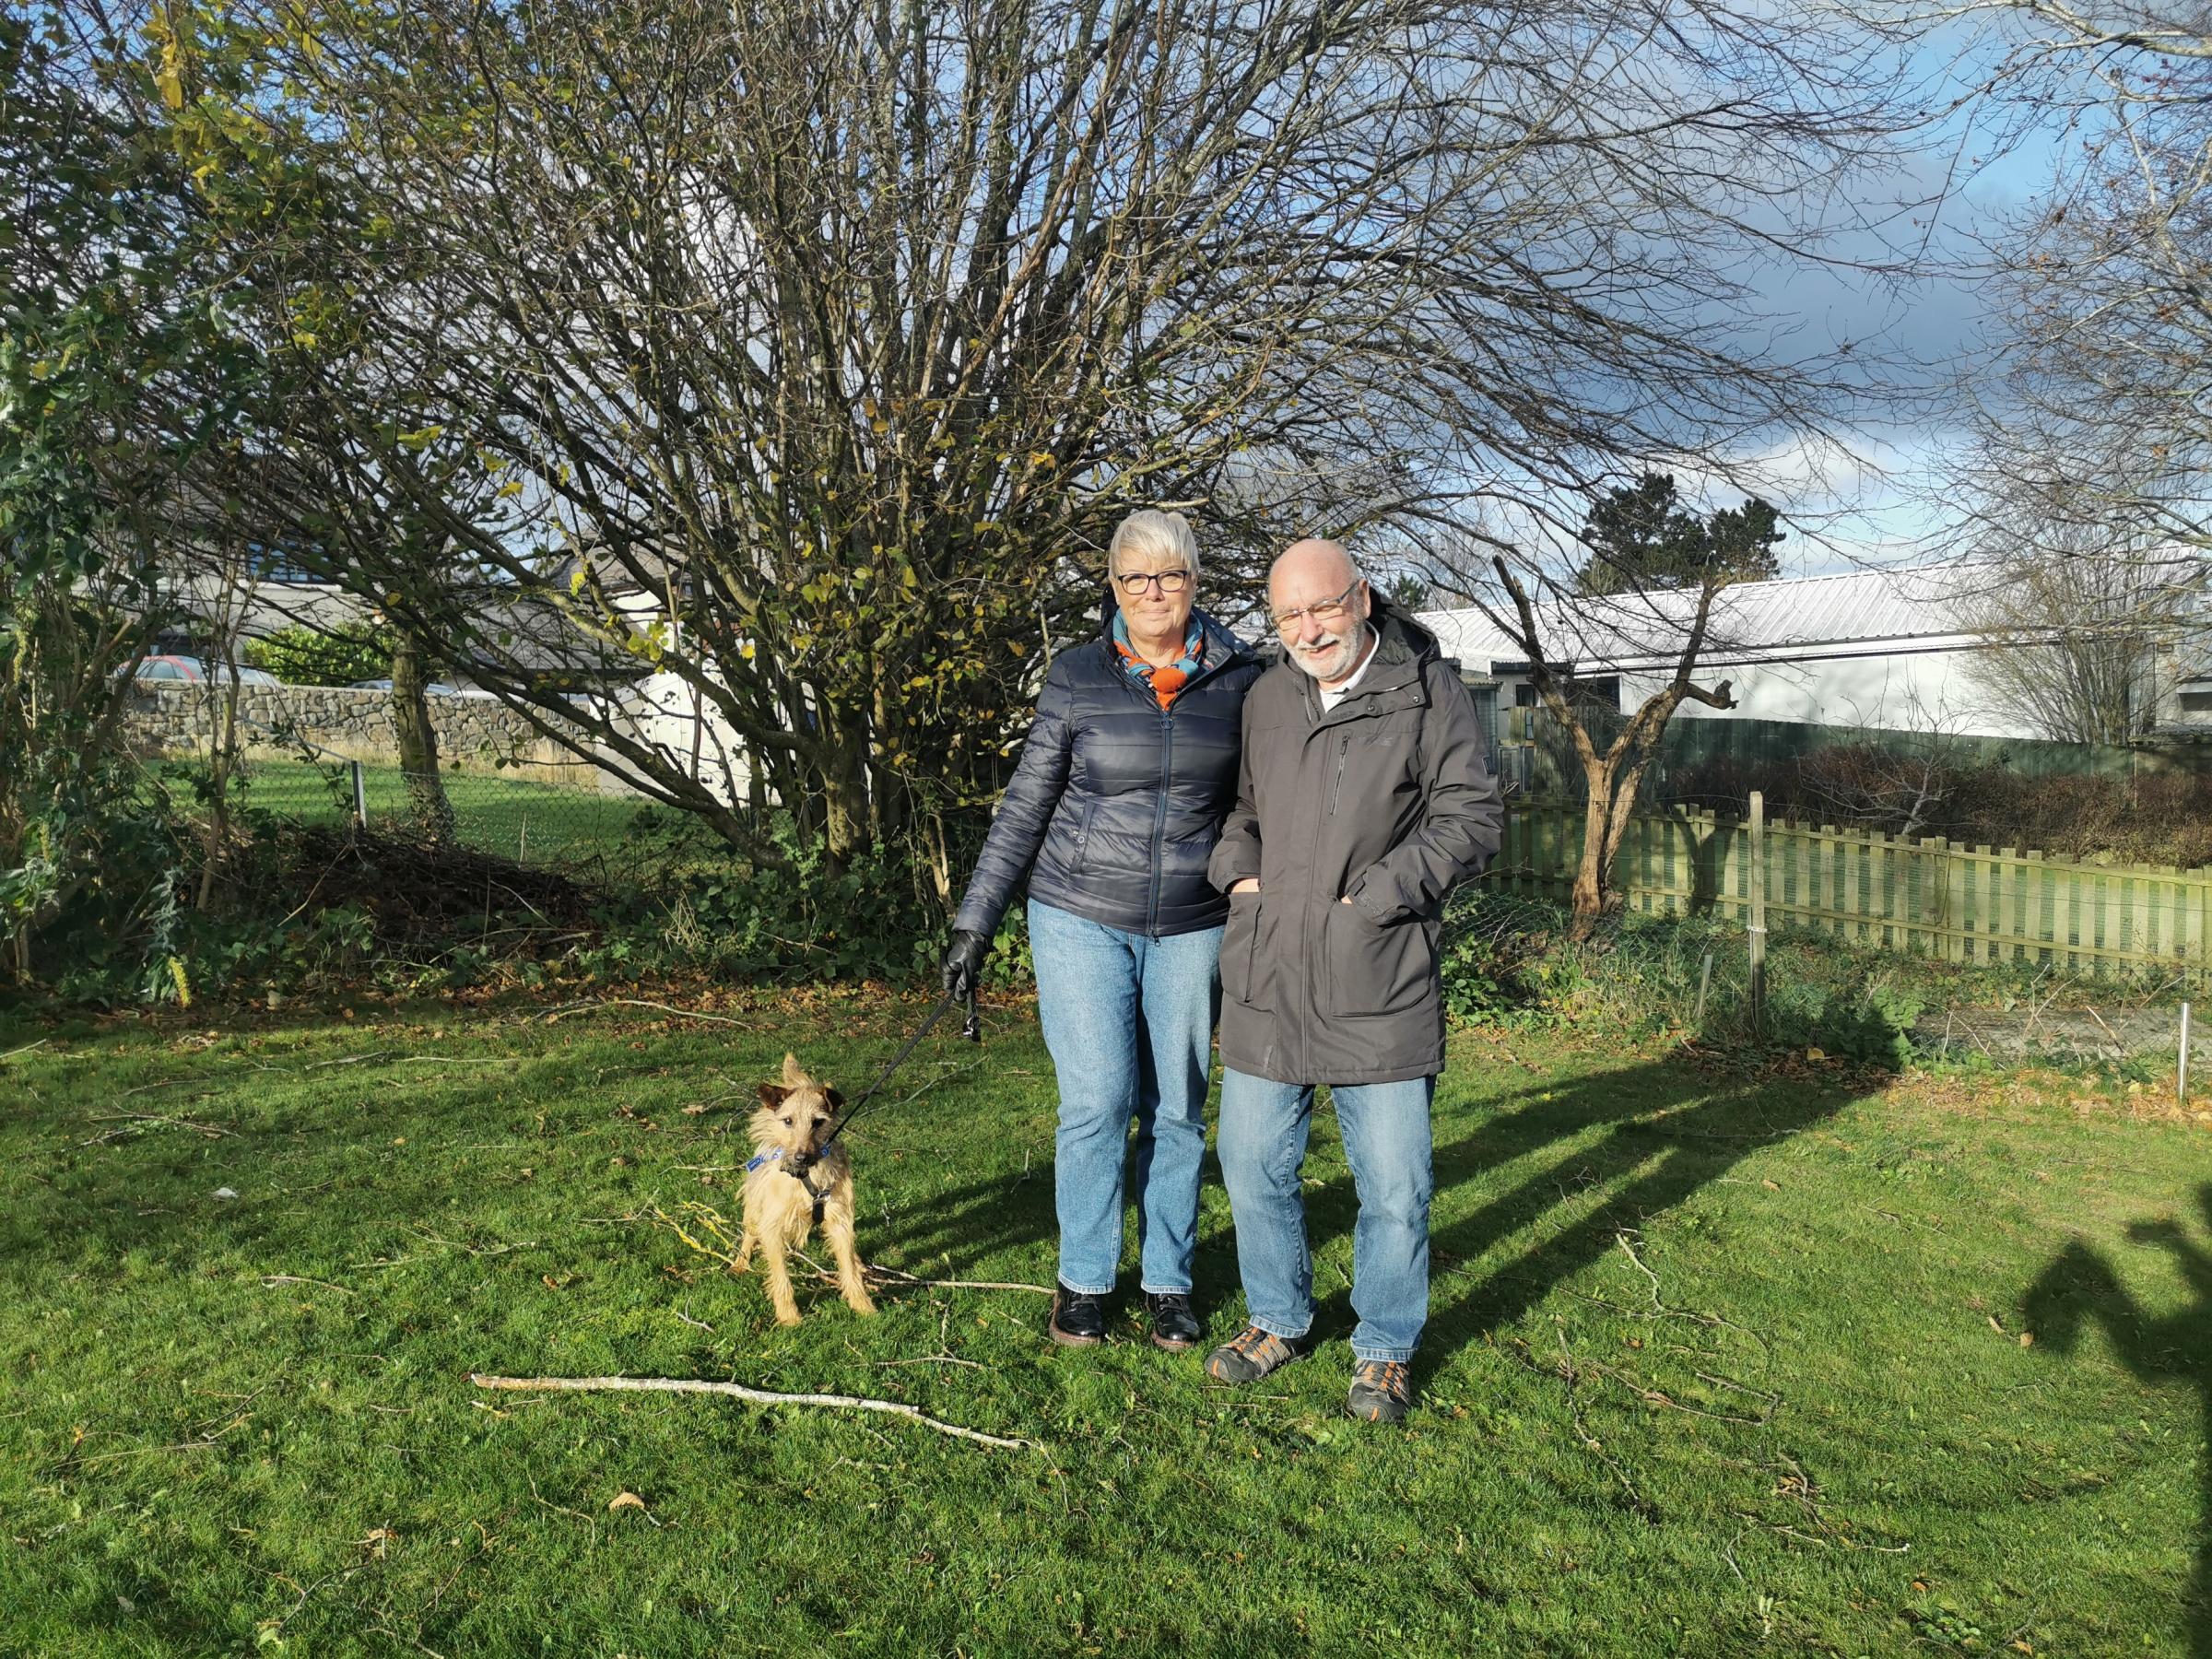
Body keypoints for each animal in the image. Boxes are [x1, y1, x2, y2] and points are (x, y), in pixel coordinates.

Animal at [734, 1057, 871, 1335]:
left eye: (818, 1122)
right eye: (788, 1121)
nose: (801, 1157)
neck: (807, 1176)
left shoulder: (840, 1219)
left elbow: (849, 1268)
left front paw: (862, 1305)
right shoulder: (772, 1226)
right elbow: (780, 1276)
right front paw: (789, 1316)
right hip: (754, 1209)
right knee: (749, 1234)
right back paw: (740, 1262)